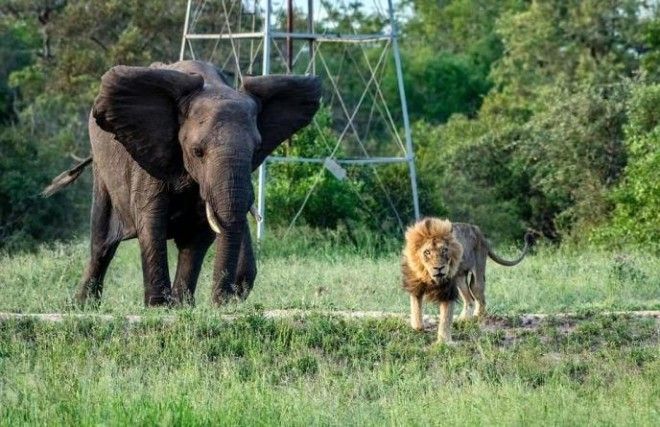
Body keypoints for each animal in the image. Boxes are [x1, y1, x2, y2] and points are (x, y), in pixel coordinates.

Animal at [42, 60, 320, 308]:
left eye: (256, 151)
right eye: (197, 152)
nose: (222, 300)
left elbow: (202, 232)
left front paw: (182, 307)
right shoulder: (150, 153)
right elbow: (151, 223)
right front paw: (158, 307)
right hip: (103, 170)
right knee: (102, 243)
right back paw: (83, 306)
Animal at [400, 217, 532, 344]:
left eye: (444, 250)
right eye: (427, 252)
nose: (439, 268)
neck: (429, 277)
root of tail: (478, 231)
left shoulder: (448, 290)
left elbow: (445, 317)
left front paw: (443, 341)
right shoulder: (415, 285)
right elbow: (415, 308)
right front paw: (418, 327)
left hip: (476, 275)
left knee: (480, 300)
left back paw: (475, 318)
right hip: (460, 279)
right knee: (469, 300)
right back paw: (461, 320)